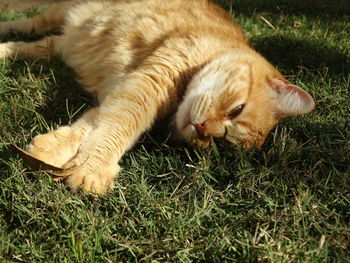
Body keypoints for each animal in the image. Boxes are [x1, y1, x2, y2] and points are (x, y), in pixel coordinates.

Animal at [0, 0, 316, 194]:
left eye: (221, 143)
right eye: (236, 109)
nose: (204, 129)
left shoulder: (122, 89)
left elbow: (90, 126)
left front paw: (52, 152)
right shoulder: (147, 84)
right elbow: (117, 129)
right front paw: (92, 168)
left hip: (60, 45)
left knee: (35, 44)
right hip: (61, 14)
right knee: (29, 23)